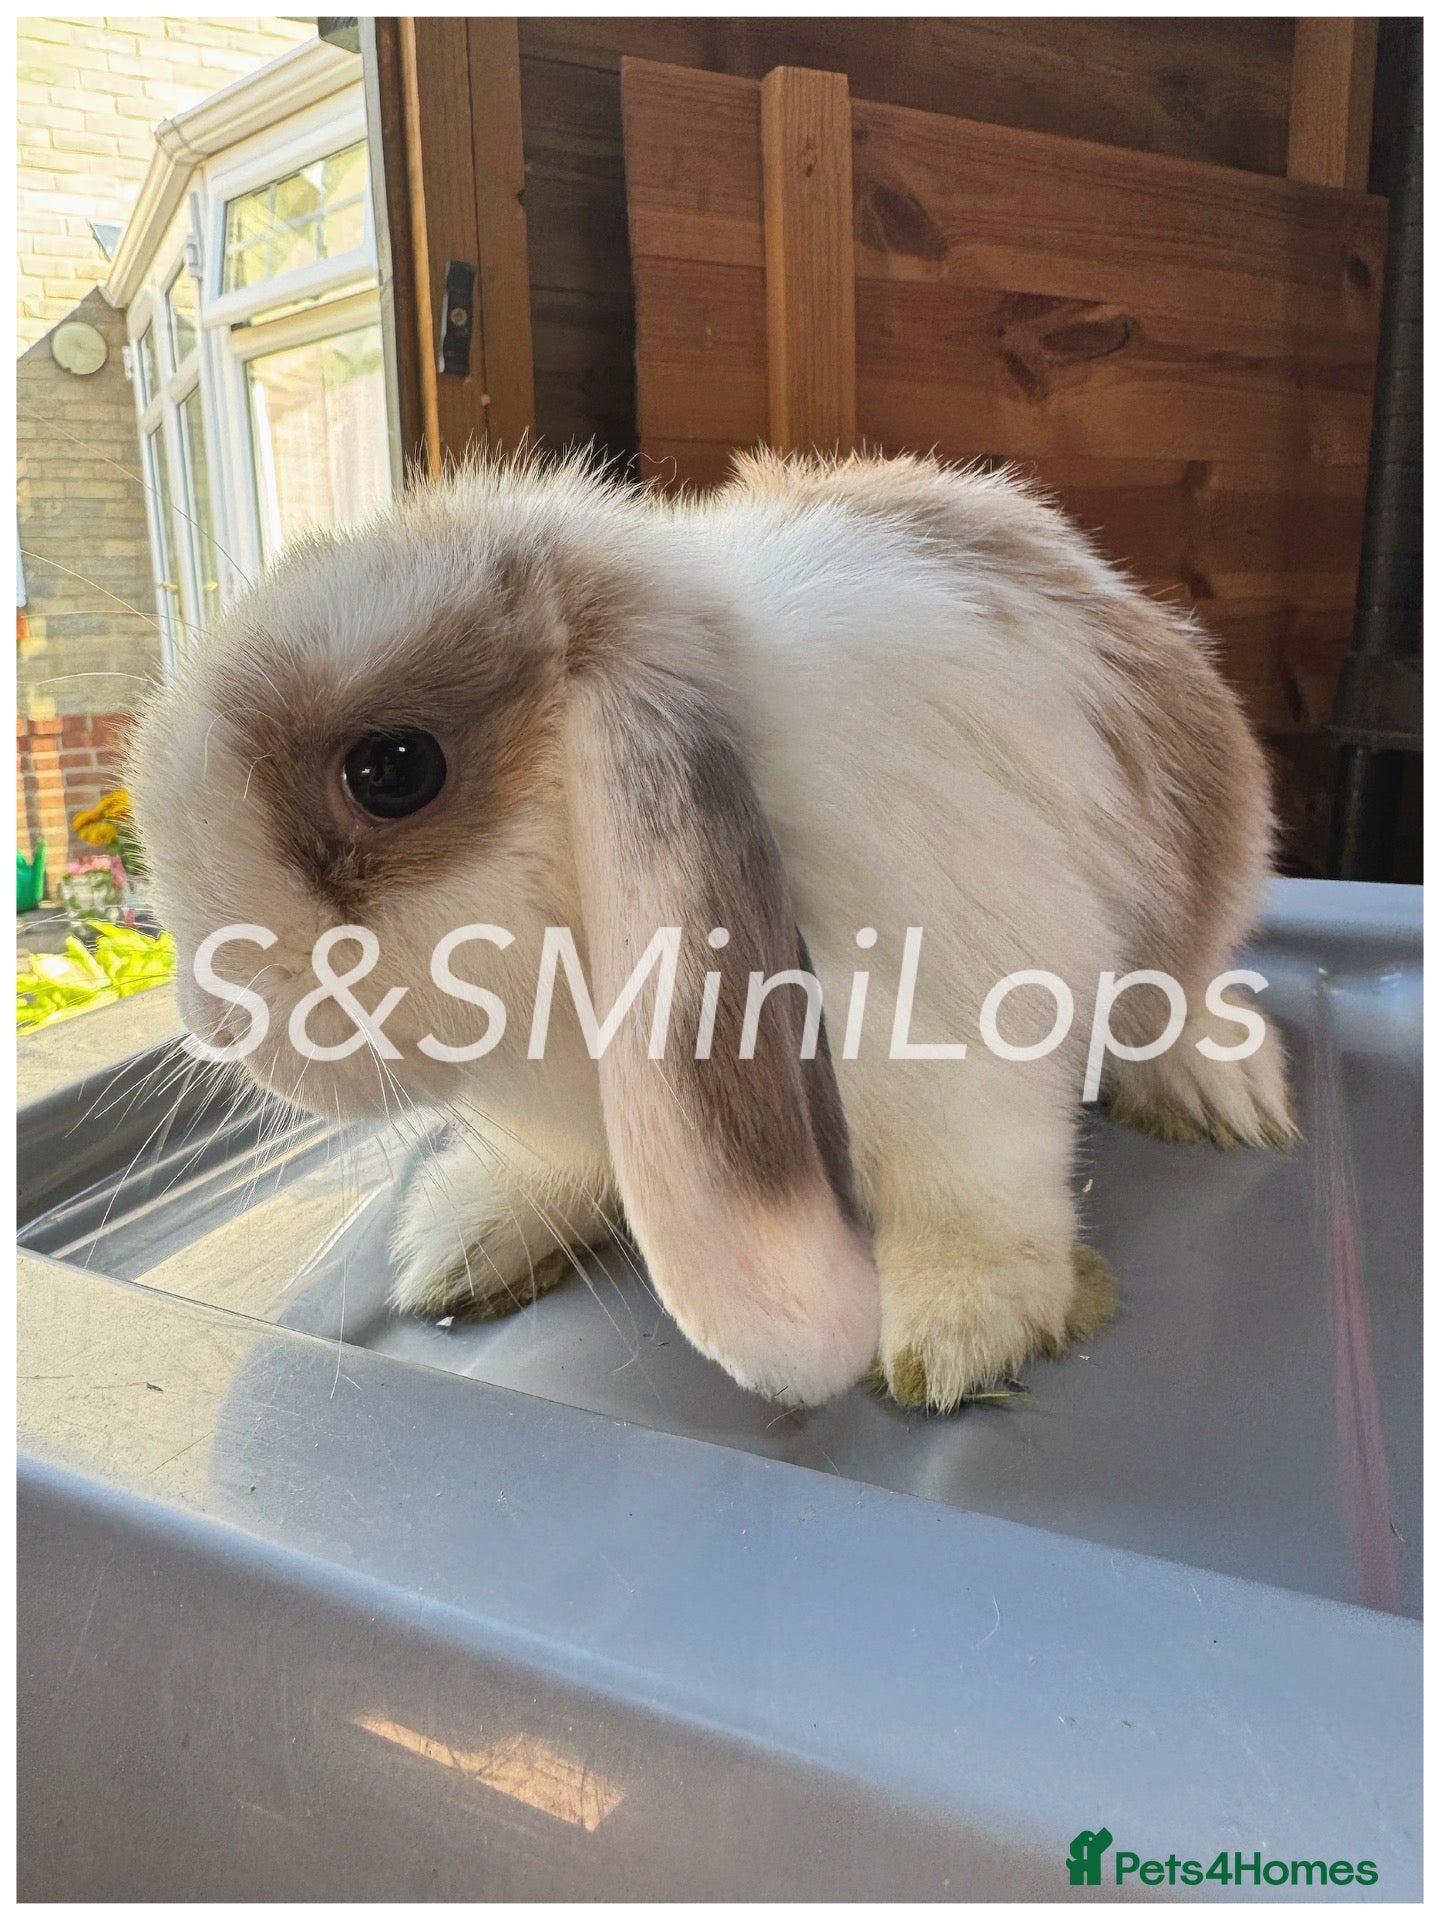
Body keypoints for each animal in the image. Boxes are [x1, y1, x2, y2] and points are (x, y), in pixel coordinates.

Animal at [127, 448, 1294, 1411]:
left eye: (393, 770)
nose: (213, 1020)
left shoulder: (958, 1057)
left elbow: (972, 1189)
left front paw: (960, 1327)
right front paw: (468, 1238)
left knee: (1185, 992)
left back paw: (1219, 1090)